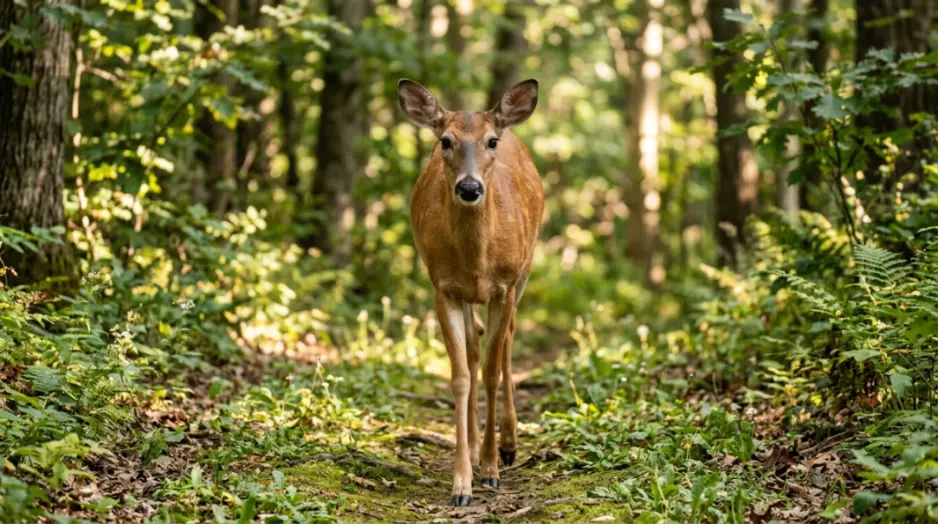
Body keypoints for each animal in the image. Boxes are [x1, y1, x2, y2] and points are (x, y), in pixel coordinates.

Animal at [397, 78, 543, 506]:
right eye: (445, 141)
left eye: (491, 141)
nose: (468, 186)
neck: (478, 258)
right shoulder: (443, 288)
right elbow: (461, 375)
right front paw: (462, 482)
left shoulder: (504, 285)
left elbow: (493, 371)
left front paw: (492, 469)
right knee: (477, 345)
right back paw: (479, 450)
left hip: (525, 270)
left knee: (507, 342)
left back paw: (508, 444)